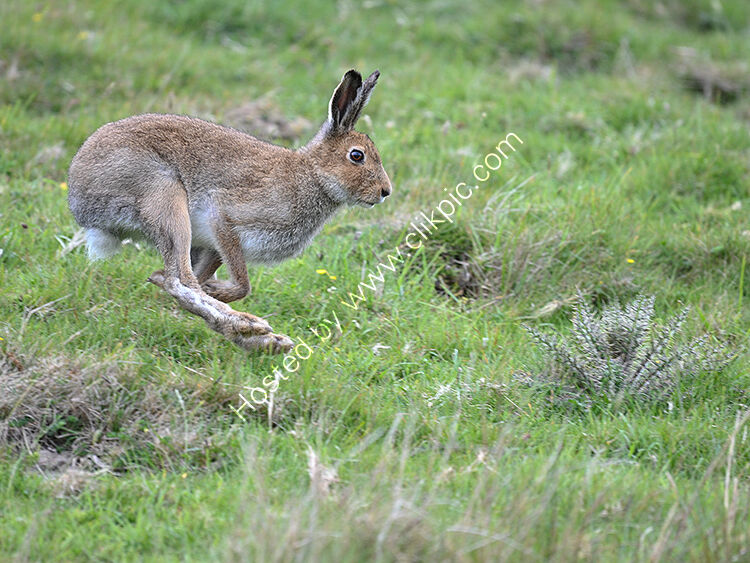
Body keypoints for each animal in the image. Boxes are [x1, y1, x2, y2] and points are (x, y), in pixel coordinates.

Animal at [67, 69, 391, 354]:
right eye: (356, 156)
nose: (385, 192)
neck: (312, 175)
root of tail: (77, 193)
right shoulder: (223, 216)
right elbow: (241, 285)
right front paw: (219, 293)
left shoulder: (216, 245)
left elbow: (209, 280)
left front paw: (211, 288)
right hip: (164, 197)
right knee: (180, 280)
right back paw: (251, 327)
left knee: (179, 282)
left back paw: (259, 340)